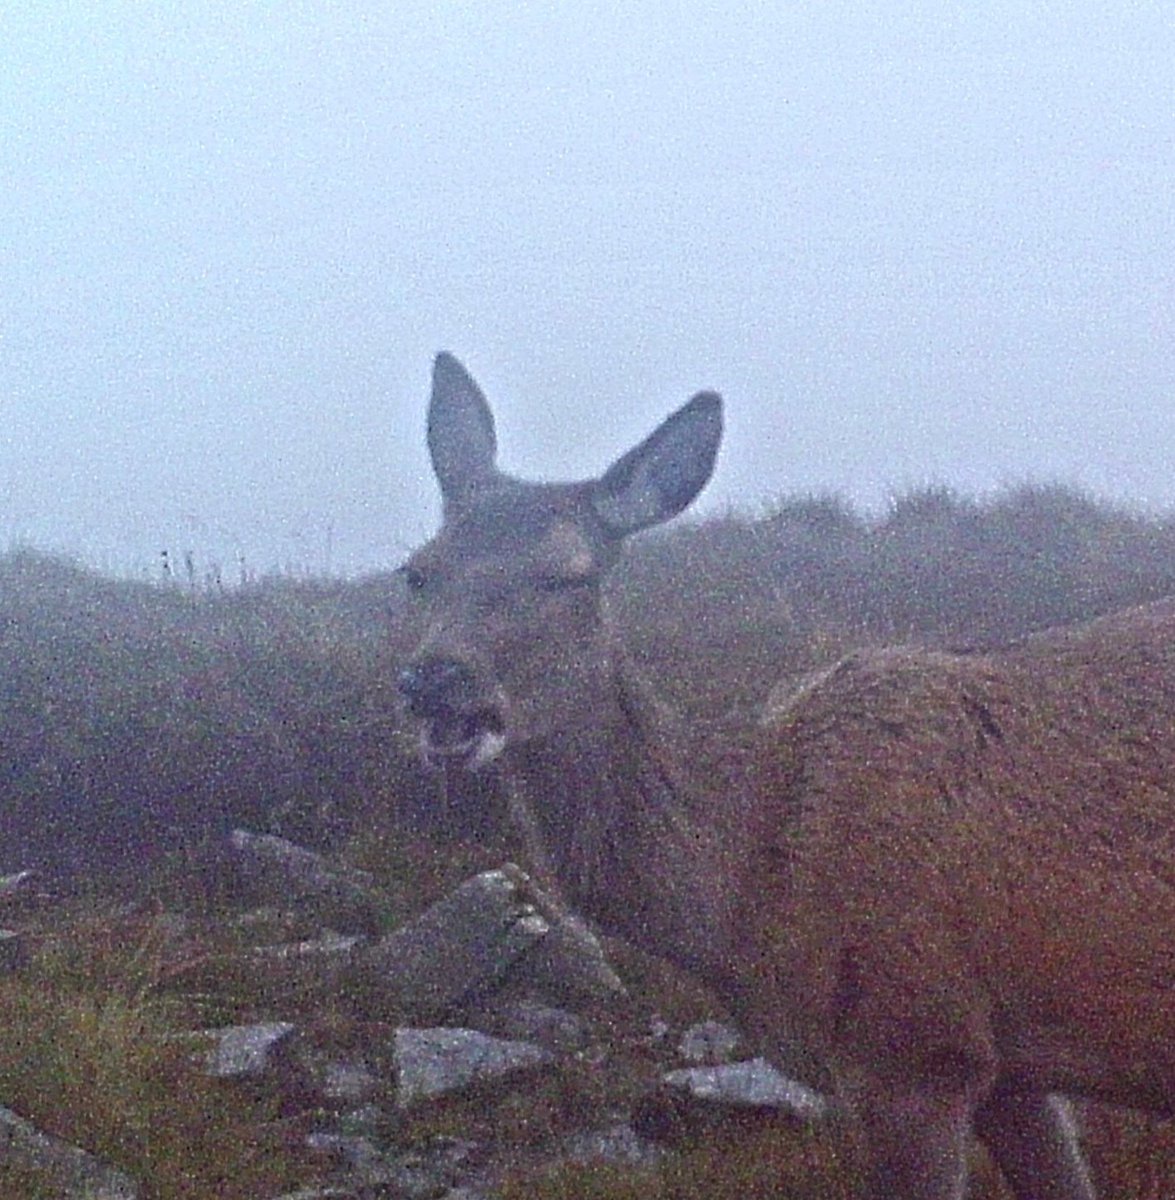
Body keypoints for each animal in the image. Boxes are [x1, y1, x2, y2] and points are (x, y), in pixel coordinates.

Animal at [396, 352, 1174, 1200]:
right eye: (417, 573)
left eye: (567, 576)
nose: (433, 681)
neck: (742, 882)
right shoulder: (1009, 1069)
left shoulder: (911, 1042)